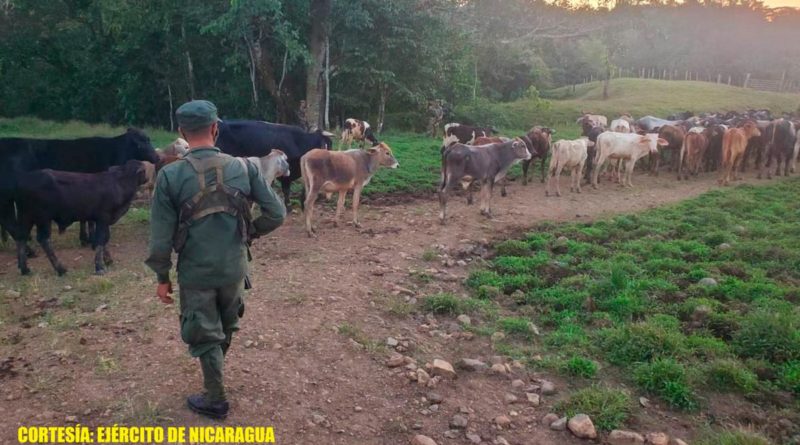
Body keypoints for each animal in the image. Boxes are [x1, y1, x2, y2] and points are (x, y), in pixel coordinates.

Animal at [0, 128, 159, 246]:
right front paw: (91, 239)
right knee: (8, 221)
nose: (157, 157)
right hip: (7, 196)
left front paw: (85, 239)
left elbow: (85, 218)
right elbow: (89, 220)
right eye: (143, 142)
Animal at [12, 160, 147, 274]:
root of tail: (23, 180)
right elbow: (101, 239)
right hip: (43, 218)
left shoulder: (102, 220)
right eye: (144, 170)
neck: (119, 183)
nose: (146, 178)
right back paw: (60, 269)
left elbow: (104, 239)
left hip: (26, 217)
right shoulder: (103, 218)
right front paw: (99, 266)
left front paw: (107, 260)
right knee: (44, 239)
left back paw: (25, 269)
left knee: (21, 237)